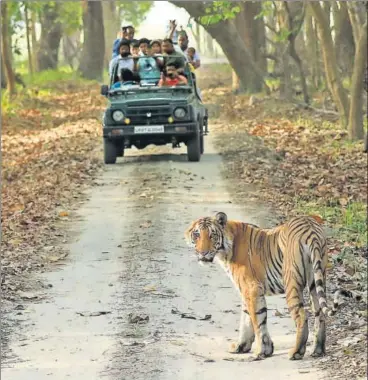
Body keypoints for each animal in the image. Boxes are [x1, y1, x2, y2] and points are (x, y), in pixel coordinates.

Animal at [184, 212, 356, 360]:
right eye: (197, 234)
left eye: (212, 235)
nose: (203, 253)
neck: (226, 249)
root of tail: (311, 228)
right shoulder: (246, 291)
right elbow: (246, 319)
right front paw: (241, 347)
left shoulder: (252, 288)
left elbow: (257, 321)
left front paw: (261, 351)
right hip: (316, 279)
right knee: (320, 314)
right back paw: (318, 350)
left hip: (291, 282)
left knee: (301, 316)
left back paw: (296, 352)